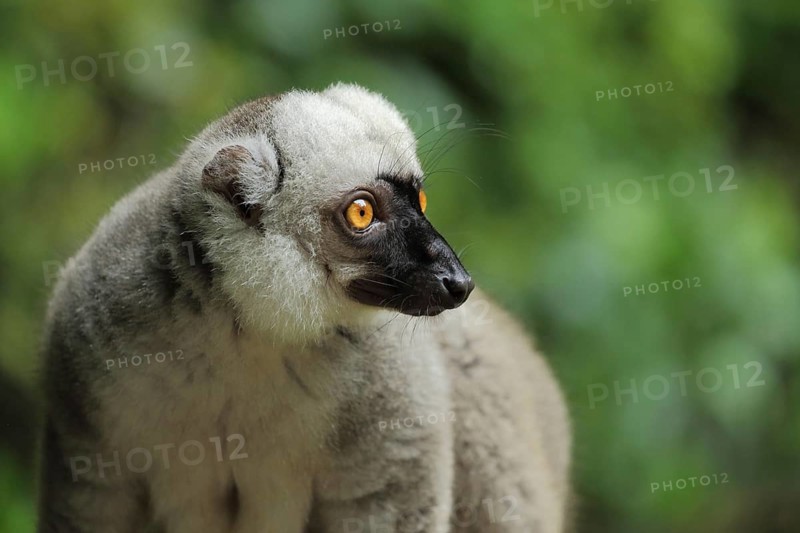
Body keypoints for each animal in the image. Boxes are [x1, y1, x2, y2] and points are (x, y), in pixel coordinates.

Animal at [37, 82, 571, 533]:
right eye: (362, 212)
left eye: (419, 199)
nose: (457, 283)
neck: (247, 335)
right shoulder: (90, 362)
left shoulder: (397, 398)